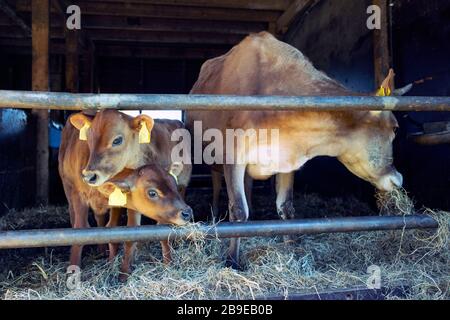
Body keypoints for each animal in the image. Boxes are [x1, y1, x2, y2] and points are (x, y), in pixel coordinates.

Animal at [185, 31, 402, 268]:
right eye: (395, 127)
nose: (398, 179)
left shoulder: (286, 158)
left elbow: (286, 208)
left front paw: (290, 248)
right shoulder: (233, 156)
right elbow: (238, 210)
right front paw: (232, 260)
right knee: (216, 185)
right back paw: (215, 215)